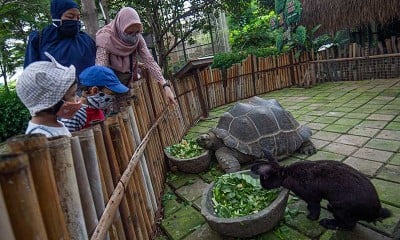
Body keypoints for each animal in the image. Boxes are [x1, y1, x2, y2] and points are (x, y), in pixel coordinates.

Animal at [250, 160, 390, 230]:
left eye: (264, 179)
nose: (262, 186)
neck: (286, 174)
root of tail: (375, 212)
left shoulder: (312, 198)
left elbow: (314, 208)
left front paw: (311, 218)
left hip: (340, 208)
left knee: (349, 224)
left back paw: (327, 223)